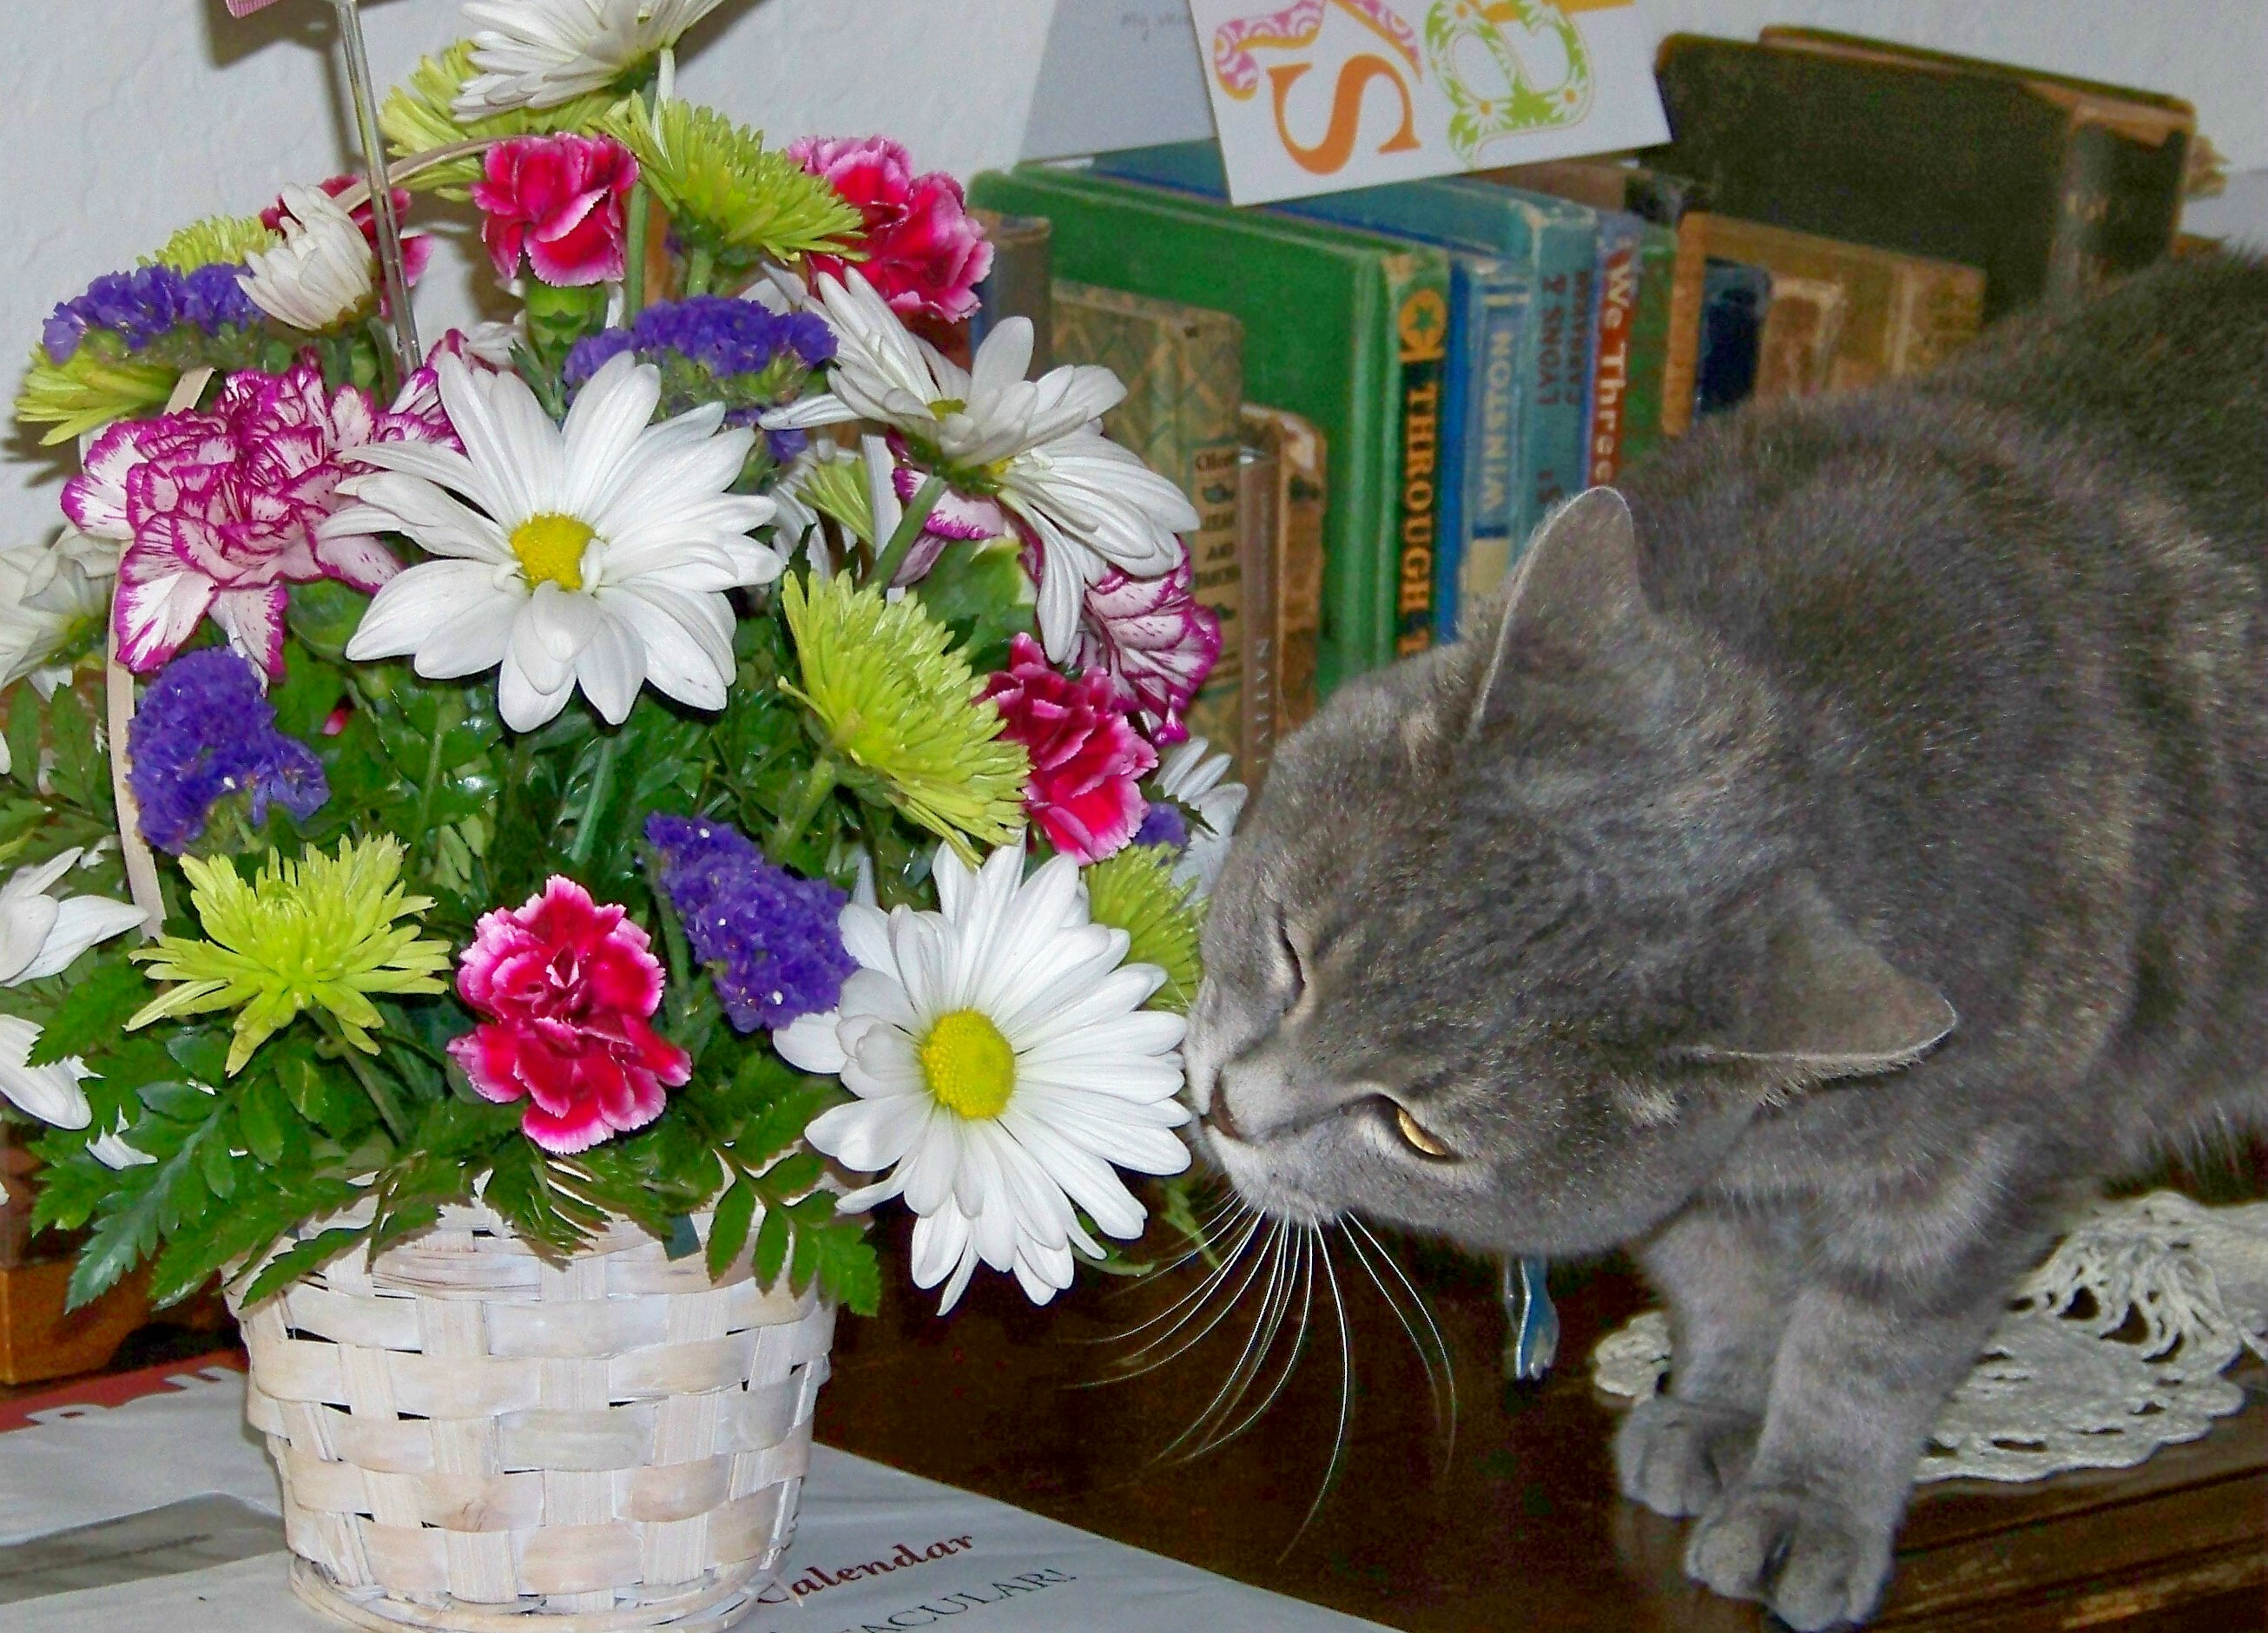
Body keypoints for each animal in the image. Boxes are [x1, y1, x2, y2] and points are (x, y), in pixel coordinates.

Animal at [1181, 251, 2268, 1630]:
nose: (1229, 1108)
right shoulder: (1697, 1187)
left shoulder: (1998, 1155)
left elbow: (1866, 1348)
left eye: (1419, 1134)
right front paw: (1707, 1417)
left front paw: (1802, 1505)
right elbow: (1727, 1282)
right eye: (1291, 946)